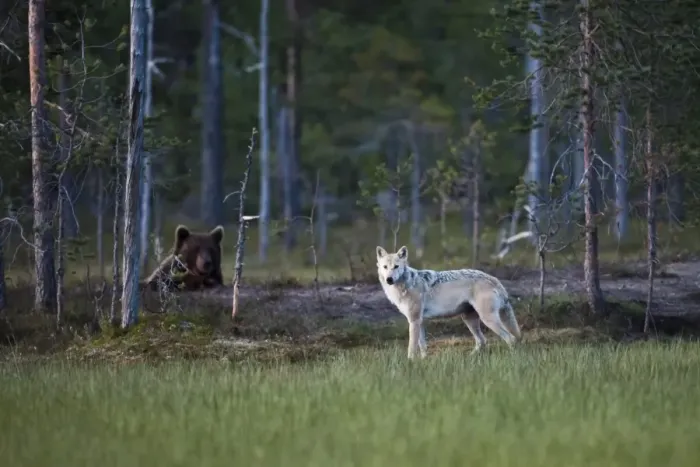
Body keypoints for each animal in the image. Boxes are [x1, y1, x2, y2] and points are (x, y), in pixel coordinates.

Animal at [376, 245, 521, 359]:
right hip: (469, 320)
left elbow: (412, 347)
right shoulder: (420, 321)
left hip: (487, 320)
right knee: (482, 341)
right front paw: (423, 361)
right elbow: (422, 346)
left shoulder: (414, 320)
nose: (389, 279)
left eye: (396, 267)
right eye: (385, 267)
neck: (406, 284)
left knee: (511, 338)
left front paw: (410, 363)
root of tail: (493, 278)